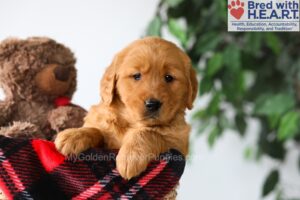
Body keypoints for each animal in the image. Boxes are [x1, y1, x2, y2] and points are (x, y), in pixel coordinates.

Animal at [55, 36, 198, 179]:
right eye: (136, 76)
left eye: (169, 77)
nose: (153, 104)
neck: (131, 122)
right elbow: (97, 130)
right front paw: (73, 135)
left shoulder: (178, 143)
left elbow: (149, 133)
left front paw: (130, 156)